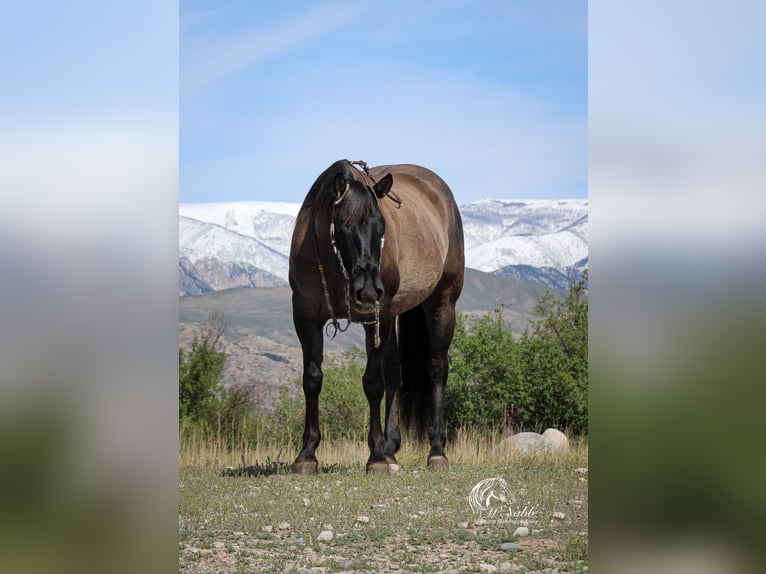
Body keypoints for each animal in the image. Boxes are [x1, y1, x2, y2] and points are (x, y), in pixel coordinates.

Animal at [290, 160, 464, 474]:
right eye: (342, 226)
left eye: (382, 228)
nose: (369, 290)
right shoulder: (305, 316)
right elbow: (312, 379)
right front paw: (307, 454)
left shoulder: (375, 316)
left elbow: (373, 383)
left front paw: (375, 457)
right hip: (393, 314)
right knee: (396, 372)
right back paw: (391, 448)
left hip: (441, 304)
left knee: (437, 370)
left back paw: (436, 451)